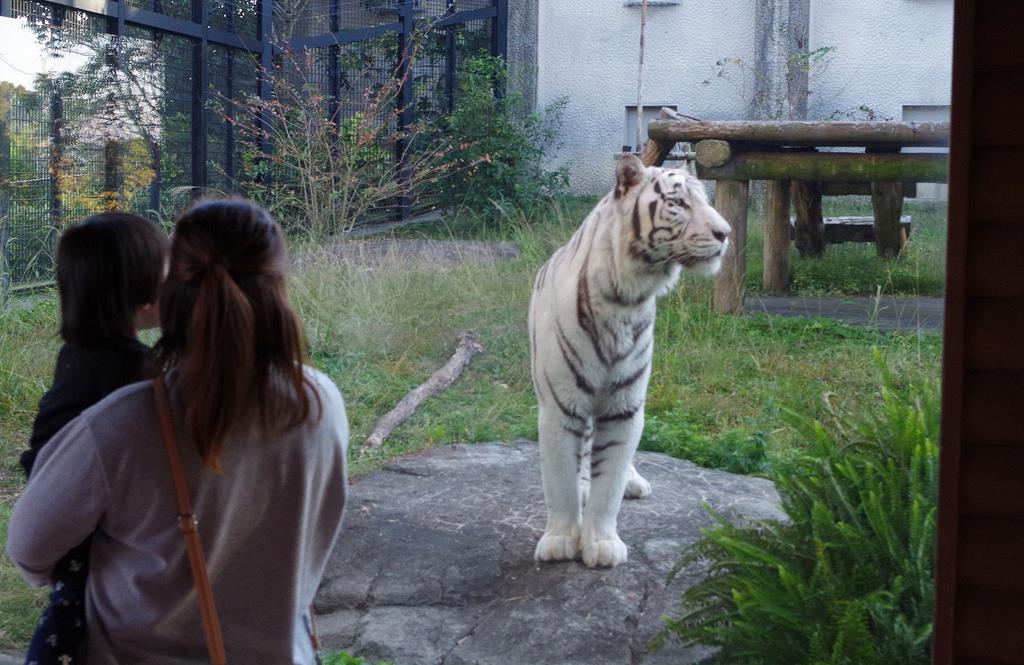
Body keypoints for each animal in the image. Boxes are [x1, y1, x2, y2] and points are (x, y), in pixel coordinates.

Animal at [528, 154, 729, 565]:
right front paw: (560, 539)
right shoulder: (559, 406)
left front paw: (602, 544)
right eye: (679, 203)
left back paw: (633, 482)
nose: (726, 233)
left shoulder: (625, 405)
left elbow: (610, 484)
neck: (628, 297)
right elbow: (559, 479)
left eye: (705, 200)